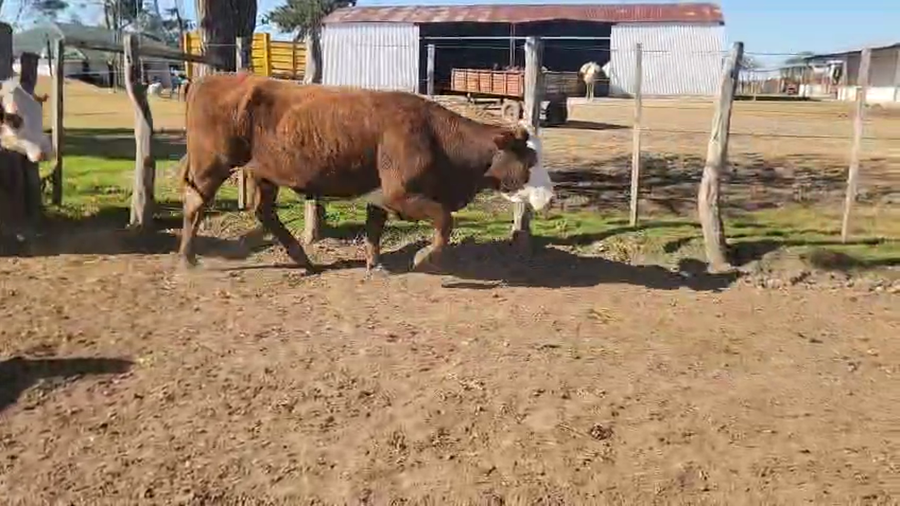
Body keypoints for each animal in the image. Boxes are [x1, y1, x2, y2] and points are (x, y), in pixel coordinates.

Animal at [177, 73, 555, 275]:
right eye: (528, 158)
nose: (551, 198)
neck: (434, 135)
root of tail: (207, 79)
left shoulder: (381, 195)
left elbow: (375, 227)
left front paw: (376, 264)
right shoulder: (401, 194)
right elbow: (444, 219)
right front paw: (422, 257)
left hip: (264, 173)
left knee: (263, 211)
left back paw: (304, 260)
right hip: (212, 164)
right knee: (196, 203)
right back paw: (188, 258)